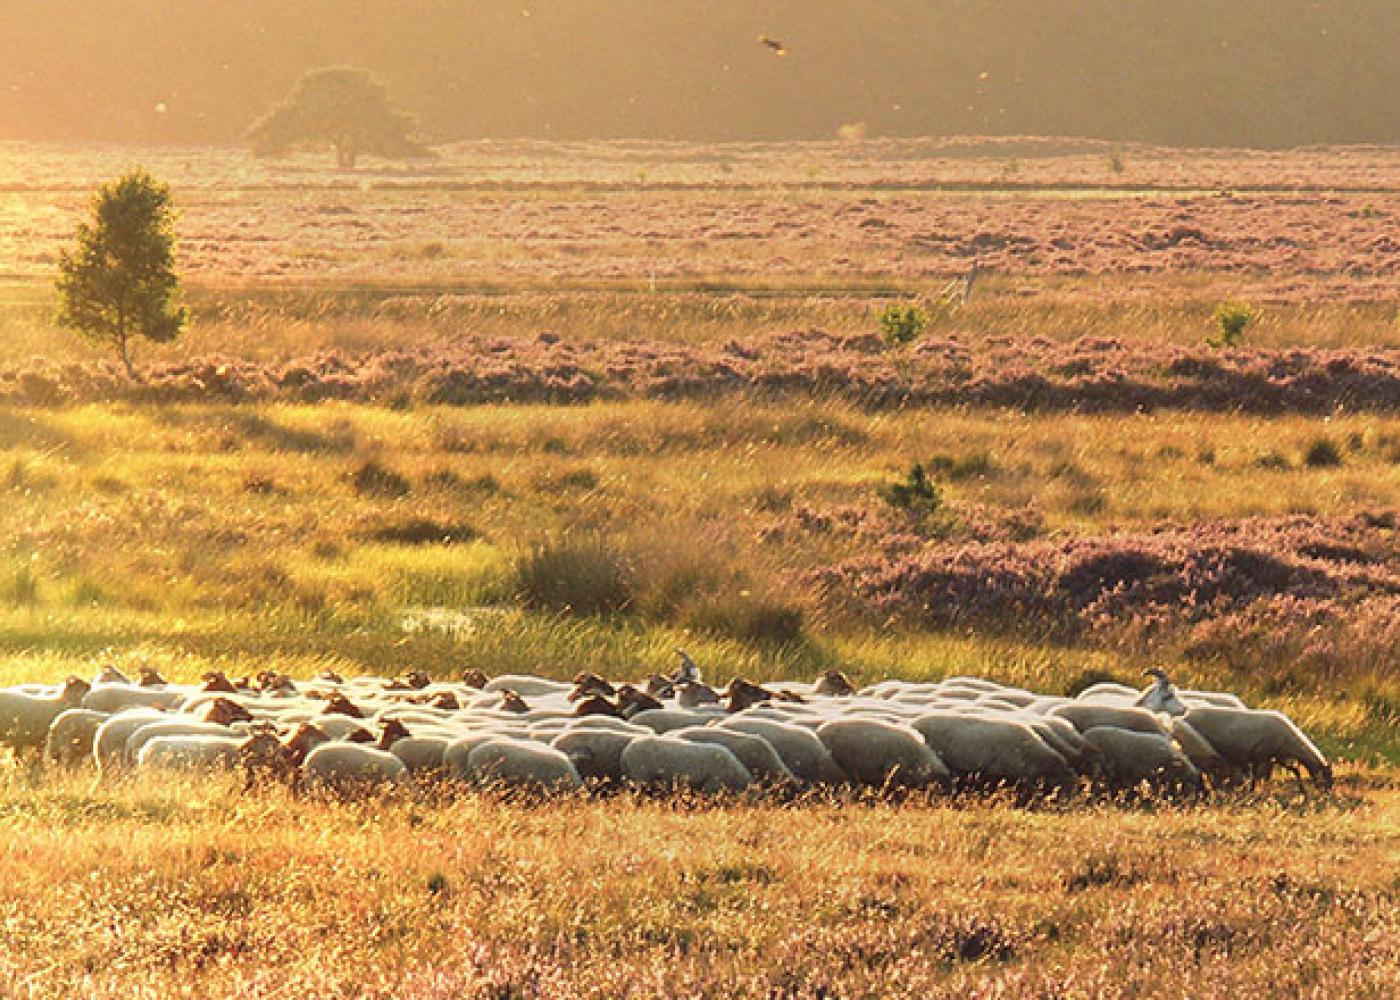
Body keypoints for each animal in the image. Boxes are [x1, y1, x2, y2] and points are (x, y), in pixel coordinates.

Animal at [1181, 700, 1332, 784]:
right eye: (1326, 775)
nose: (1327, 793)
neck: (1291, 743)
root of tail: (1187, 714)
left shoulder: (1273, 757)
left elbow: (1294, 772)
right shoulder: (1260, 756)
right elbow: (1257, 777)